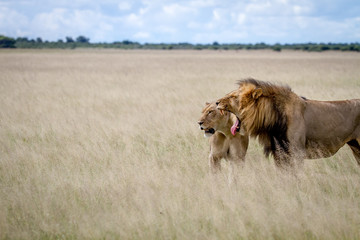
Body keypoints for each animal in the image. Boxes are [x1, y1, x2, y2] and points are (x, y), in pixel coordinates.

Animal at [215, 78, 358, 168]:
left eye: (233, 97)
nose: (216, 102)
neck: (273, 120)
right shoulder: (279, 153)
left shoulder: (296, 152)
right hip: (356, 147)